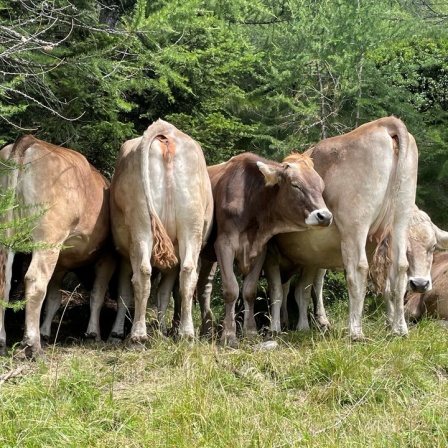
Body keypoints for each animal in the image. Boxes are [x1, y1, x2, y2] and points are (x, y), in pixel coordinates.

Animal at [0, 135, 117, 358]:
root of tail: (30, 140)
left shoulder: (60, 265)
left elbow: (54, 299)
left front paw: (46, 332)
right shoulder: (106, 256)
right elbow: (97, 295)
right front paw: (93, 334)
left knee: (5, 282)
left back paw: (2, 340)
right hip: (48, 238)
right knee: (35, 281)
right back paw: (32, 345)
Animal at [108, 119, 214, 344]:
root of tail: (166, 131)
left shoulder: (125, 257)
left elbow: (125, 293)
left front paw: (117, 331)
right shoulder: (171, 262)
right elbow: (164, 294)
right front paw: (163, 330)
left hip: (141, 224)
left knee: (142, 274)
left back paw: (138, 335)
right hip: (191, 224)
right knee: (188, 273)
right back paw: (186, 333)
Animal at [198, 152, 334, 344]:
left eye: (321, 186)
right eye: (295, 185)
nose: (325, 216)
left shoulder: (261, 250)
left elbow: (249, 290)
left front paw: (250, 331)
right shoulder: (224, 245)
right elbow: (231, 289)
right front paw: (229, 336)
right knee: (200, 287)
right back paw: (204, 330)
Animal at [264, 115, 418, 340]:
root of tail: (384, 123)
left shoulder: (271, 250)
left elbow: (277, 290)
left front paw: (276, 328)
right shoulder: (312, 254)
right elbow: (301, 288)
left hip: (355, 223)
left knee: (358, 269)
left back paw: (355, 331)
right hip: (402, 214)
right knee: (400, 266)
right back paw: (400, 329)